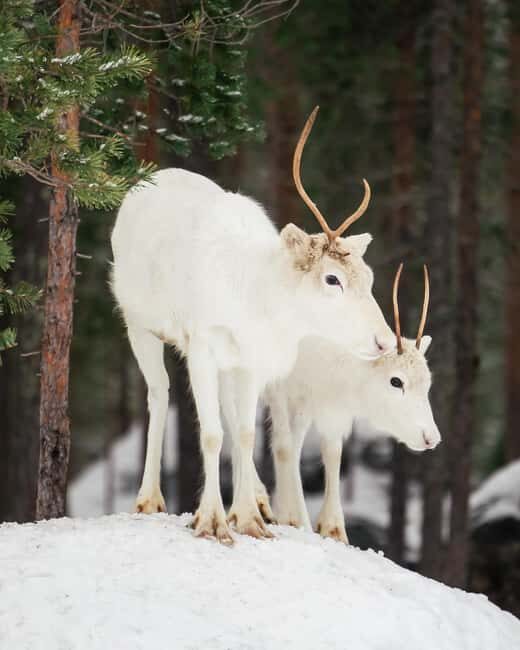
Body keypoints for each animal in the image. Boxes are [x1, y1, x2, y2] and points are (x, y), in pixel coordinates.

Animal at [110, 106, 396, 544]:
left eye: (369, 276)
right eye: (332, 279)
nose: (384, 340)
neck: (258, 301)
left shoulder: (248, 361)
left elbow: (244, 432)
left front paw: (247, 519)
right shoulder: (202, 348)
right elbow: (211, 434)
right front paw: (211, 520)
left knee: (228, 415)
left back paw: (259, 500)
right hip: (139, 325)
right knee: (158, 394)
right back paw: (149, 498)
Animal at [255, 264, 441, 543]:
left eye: (428, 382)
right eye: (396, 381)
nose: (431, 438)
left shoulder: (314, 404)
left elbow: (328, 453)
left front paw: (331, 528)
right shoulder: (280, 391)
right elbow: (283, 447)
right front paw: (299, 519)